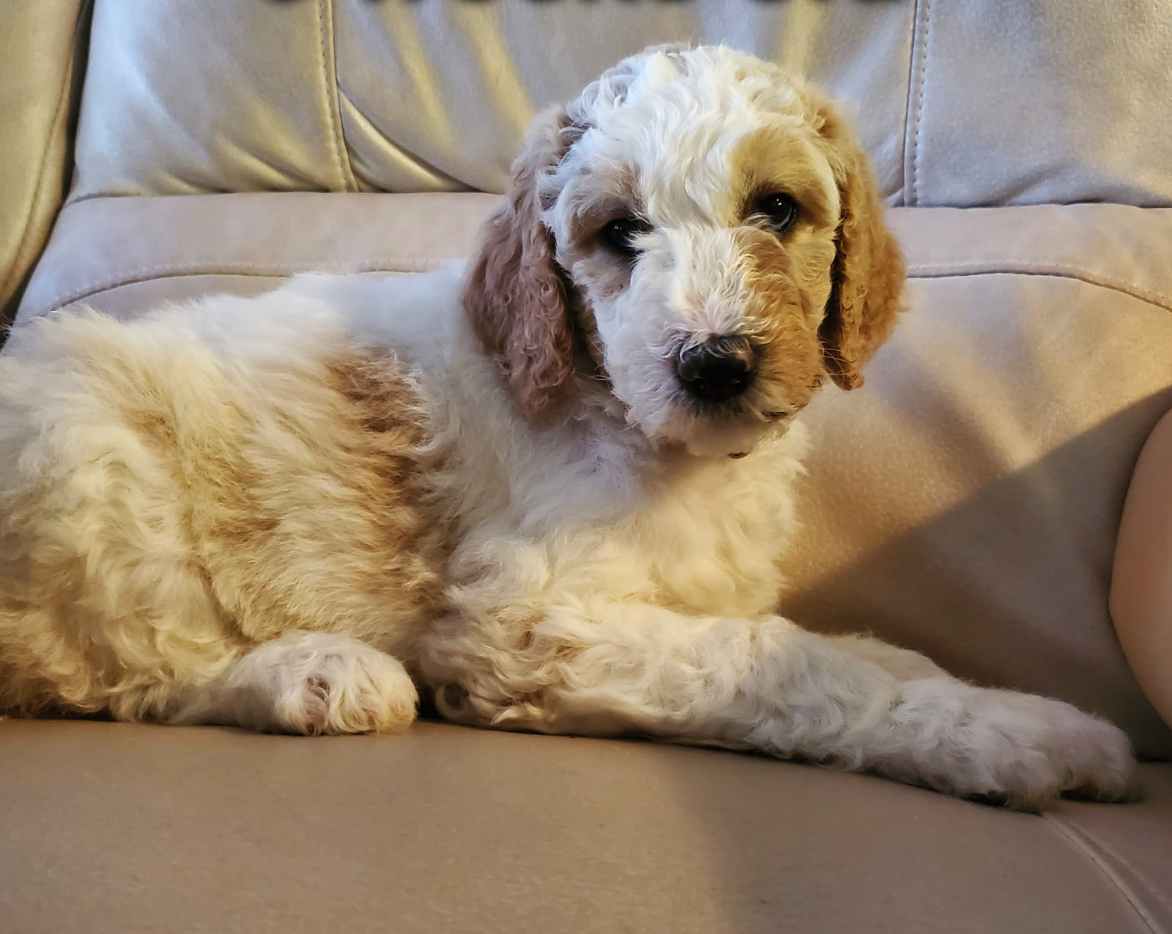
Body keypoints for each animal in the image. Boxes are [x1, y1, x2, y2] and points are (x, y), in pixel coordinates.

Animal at [0, 45, 1139, 810]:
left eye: (775, 209)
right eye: (618, 233)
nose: (713, 363)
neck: (629, 422)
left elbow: (869, 648)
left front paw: (986, 700)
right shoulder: (521, 625)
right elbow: (777, 657)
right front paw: (1017, 732)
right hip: (98, 478)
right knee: (126, 675)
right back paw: (315, 674)